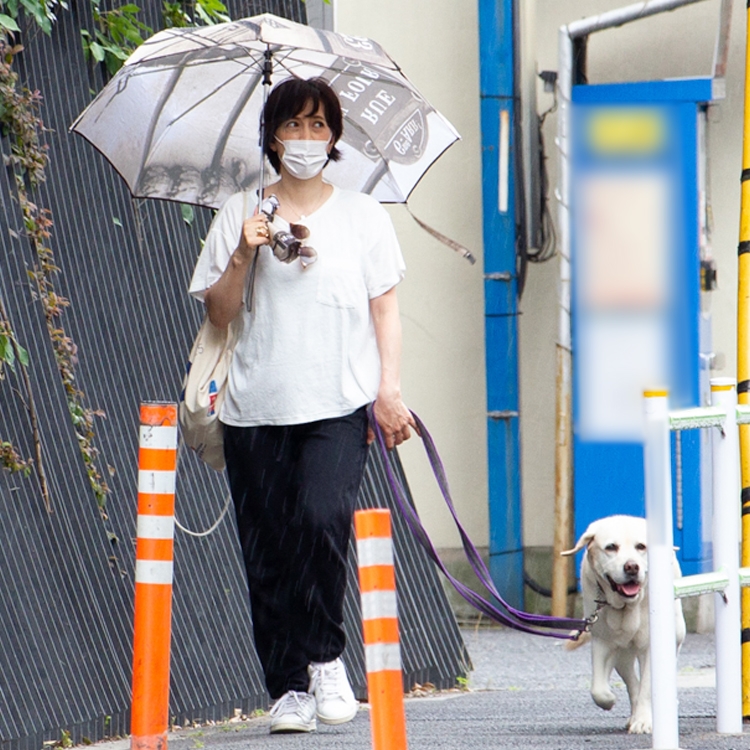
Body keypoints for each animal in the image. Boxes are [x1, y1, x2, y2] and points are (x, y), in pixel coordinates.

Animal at [564, 516, 688, 736]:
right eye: (611, 547)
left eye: (641, 546)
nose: (631, 567)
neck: (626, 607)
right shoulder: (602, 642)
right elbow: (598, 688)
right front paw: (610, 700)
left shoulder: (651, 648)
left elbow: (648, 688)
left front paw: (644, 721)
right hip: (622, 656)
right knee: (631, 682)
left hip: (676, 635)